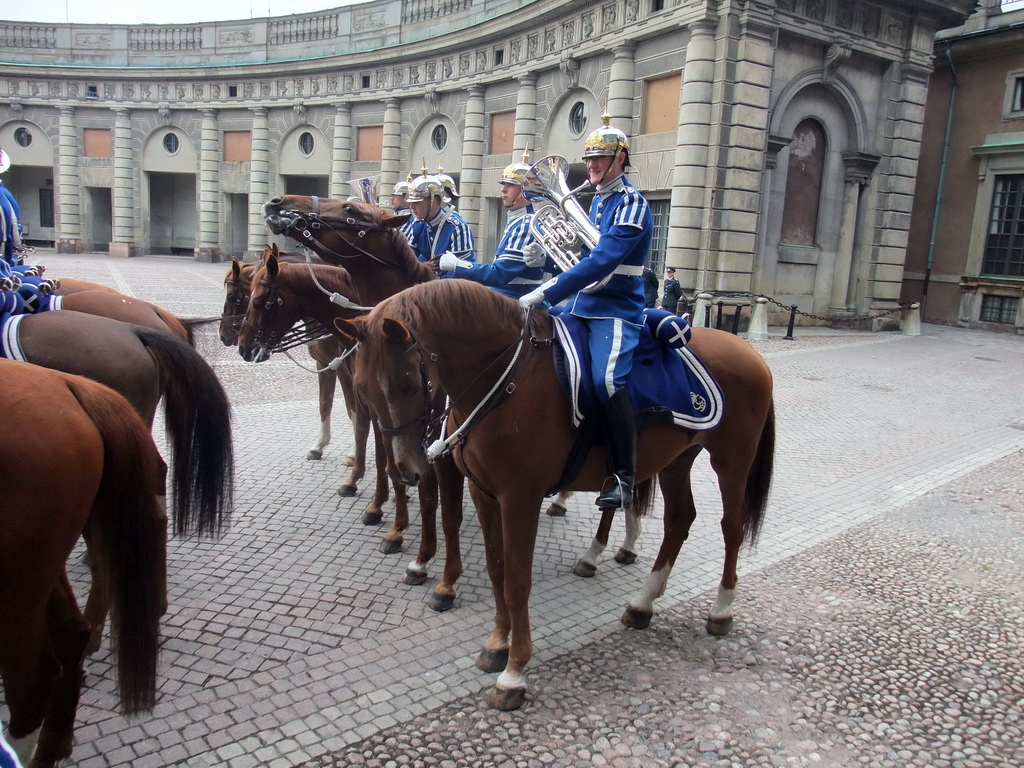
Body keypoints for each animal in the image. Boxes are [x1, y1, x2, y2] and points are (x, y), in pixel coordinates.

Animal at [335, 280, 774, 712]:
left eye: (410, 383)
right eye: (362, 389)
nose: (405, 469)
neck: (504, 379)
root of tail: (747, 352)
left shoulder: (520, 498)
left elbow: (517, 580)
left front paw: (514, 672)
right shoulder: (484, 493)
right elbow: (496, 568)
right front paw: (497, 643)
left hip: (731, 460)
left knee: (731, 527)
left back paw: (720, 609)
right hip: (677, 461)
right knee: (679, 520)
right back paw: (642, 603)